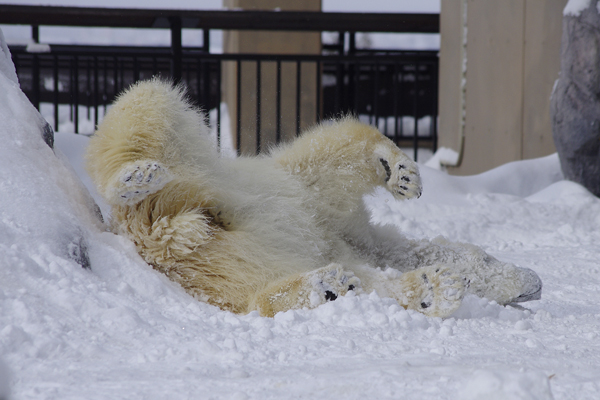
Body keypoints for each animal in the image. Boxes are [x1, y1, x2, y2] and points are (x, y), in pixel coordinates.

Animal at [86, 78, 540, 318]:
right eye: (491, 256)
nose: (536, 284)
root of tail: (163, 230)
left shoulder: (348, 233)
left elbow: (381, 272)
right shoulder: (310, 191)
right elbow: (332, 149)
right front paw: (401, 172)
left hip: (216, 262)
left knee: (257, 289)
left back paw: (337, 286)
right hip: (189, 166)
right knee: (146, 102)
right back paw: (133, 177)